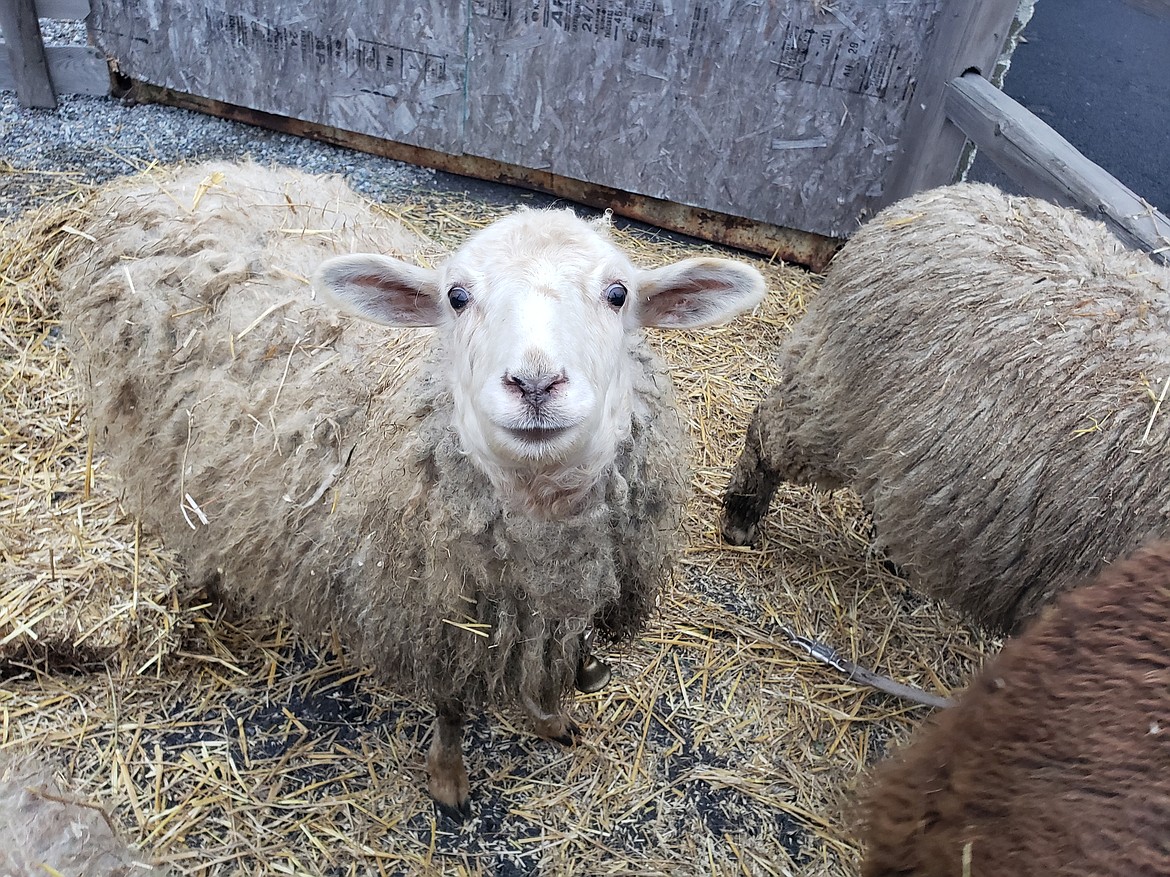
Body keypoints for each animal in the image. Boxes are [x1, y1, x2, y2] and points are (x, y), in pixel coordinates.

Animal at [61, 161, 767, 823]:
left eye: (619, 293)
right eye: (455, 296)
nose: (535, 384)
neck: (541, 518)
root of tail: (177, 176)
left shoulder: (553, 608)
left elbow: (548, 673)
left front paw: (547, 719)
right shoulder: (438, 614)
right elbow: (451, 708)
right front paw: (448, 780)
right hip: (157, 445)